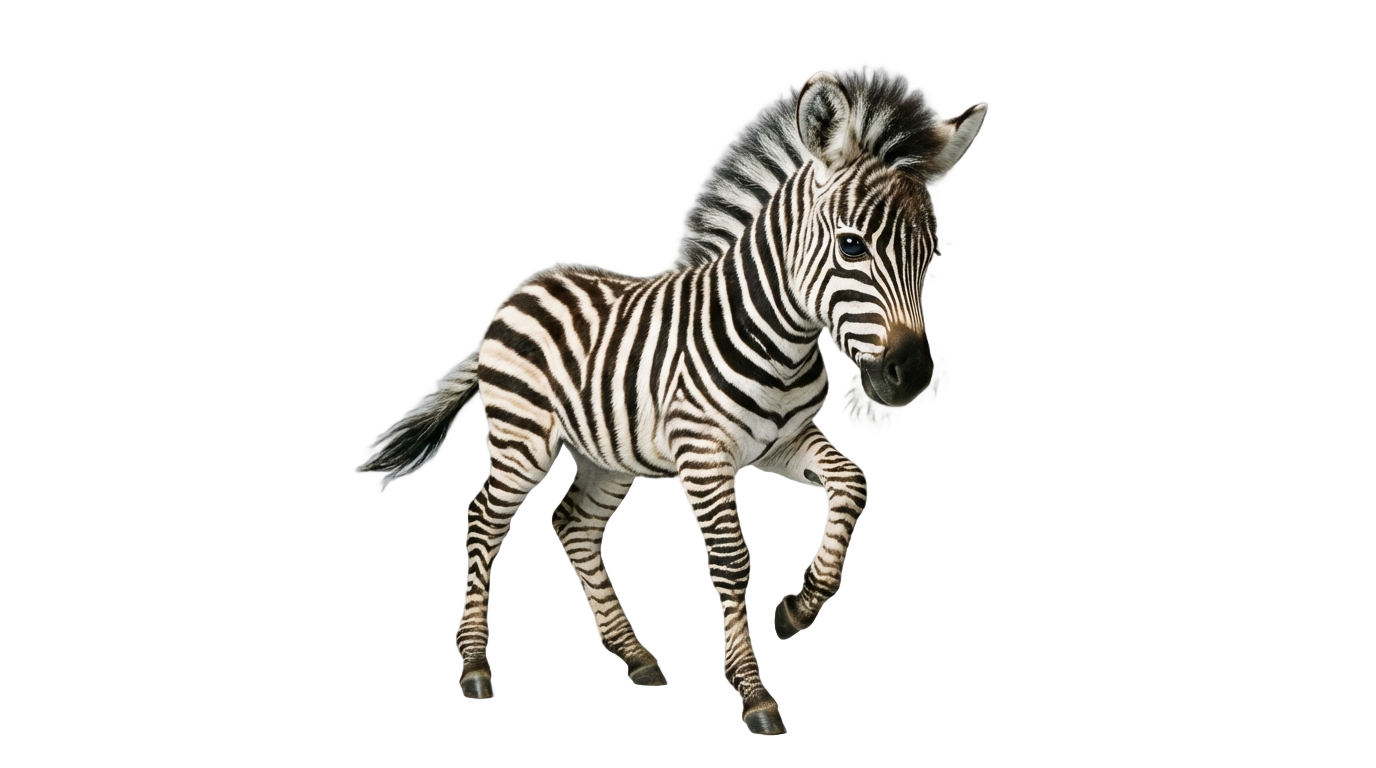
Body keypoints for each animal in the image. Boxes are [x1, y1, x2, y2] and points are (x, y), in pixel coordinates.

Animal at [362, 70, 985, 737]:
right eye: (851, 247)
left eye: (931, 254)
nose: (910, 374)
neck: (780, 338)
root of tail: (526, 290)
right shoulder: (703, 451)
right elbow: (731, 560)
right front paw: (753, 695)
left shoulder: (781, 443)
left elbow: (851, 482)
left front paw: (800, 605)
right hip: (522, 438)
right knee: (483, 519)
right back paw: (476, 665)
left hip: (607, 455)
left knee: (572, 524)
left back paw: (634, 656)